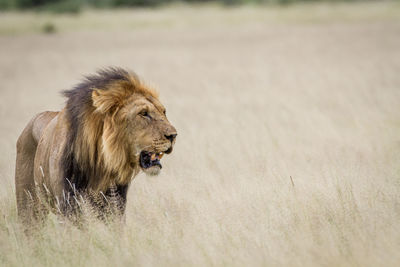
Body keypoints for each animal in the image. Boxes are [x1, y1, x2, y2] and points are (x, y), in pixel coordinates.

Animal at [14, 68, 177, 225]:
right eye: (143, 113)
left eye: (164, 112)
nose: (174, 135)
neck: (101, 164)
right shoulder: (68, 207)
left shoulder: (115, 206)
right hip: (29, 207)